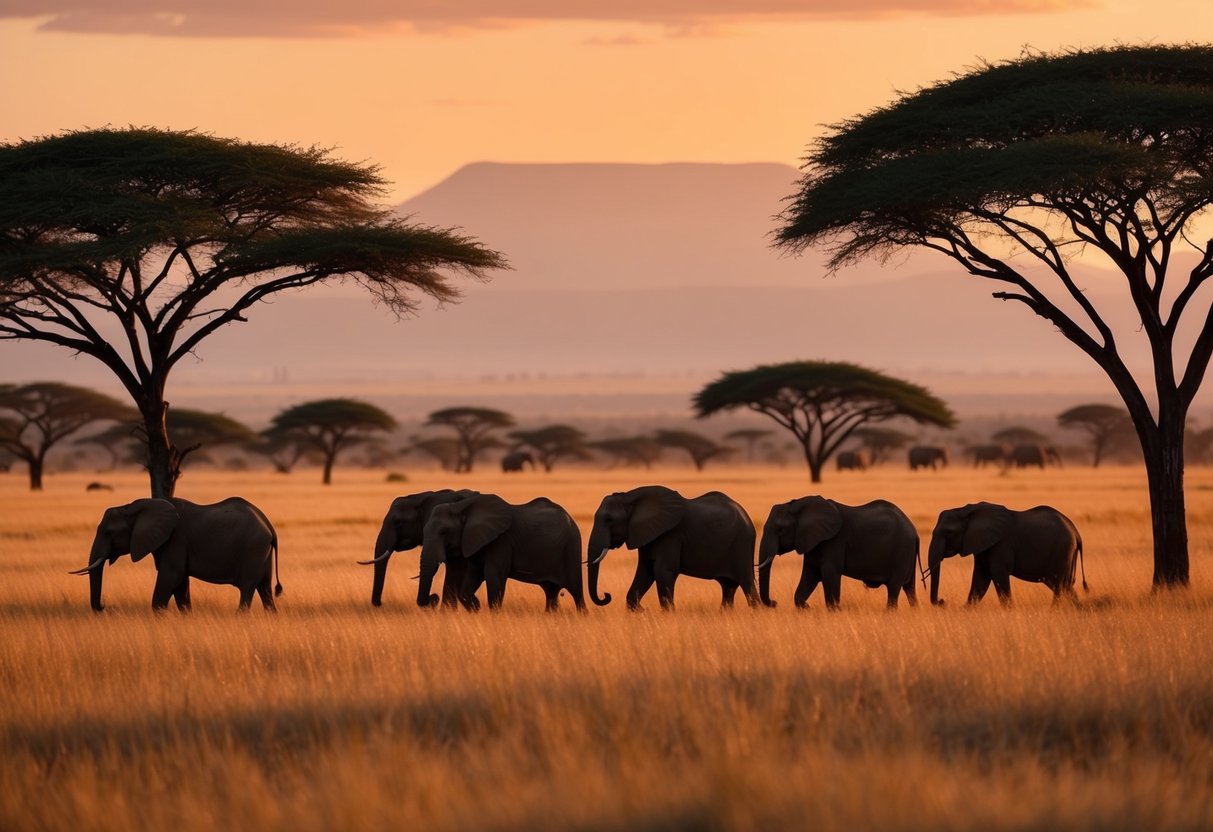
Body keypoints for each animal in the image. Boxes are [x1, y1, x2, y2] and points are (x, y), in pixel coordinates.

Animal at [70, 499, 278, 616]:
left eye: (109, 532)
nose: (105, 606)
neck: (133, 507)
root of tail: (268, 525)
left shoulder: (175, 540)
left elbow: (171, 577)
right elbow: (180, 585)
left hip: (253, 549)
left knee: (247, 588)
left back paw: (239, 616)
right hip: (261, 553)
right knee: (265, 589)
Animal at [419, 494, 584, 613]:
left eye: (444, 532)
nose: (433, 598)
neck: (462, 507)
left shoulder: (501, 542)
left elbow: (493, 576)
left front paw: (492, 615)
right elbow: (474, 576)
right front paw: (476, 607)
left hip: (571, 547)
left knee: (576, 590)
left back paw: (582, 615)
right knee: (551, 591)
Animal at [587, 489, 756, 613]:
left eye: (609, 519)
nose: (606, 595)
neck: (630, 497)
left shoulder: (671, 534)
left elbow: (662, 570)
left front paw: (667, 614)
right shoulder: (646, 535)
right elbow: (646, 571)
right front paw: (642, 612)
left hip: (742, 544)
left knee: (747, 584)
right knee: (728, 587)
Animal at [756, 494, 917, 613]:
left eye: (780, 530)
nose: (774, 602)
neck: (798, 506)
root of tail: (914, 531)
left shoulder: (834, 541)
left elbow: (830, 574)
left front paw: (835, 611)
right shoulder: (813, 542)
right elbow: (809, 575)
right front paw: (807, 608)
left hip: (902, 551)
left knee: (894, 587)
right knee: (909, 588)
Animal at [921, 502, 1086, 606]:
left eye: (949, 532)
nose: (942, 601)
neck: (965, 511)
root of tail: (1076, 532)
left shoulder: (1001, 544)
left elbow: (998, 574)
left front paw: (1009, 610)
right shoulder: (981, 545)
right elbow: (980, 579)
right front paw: (966, 610)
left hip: (1062, 550)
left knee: (1060, 585)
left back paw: (1055, 610)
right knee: (1065, 585)